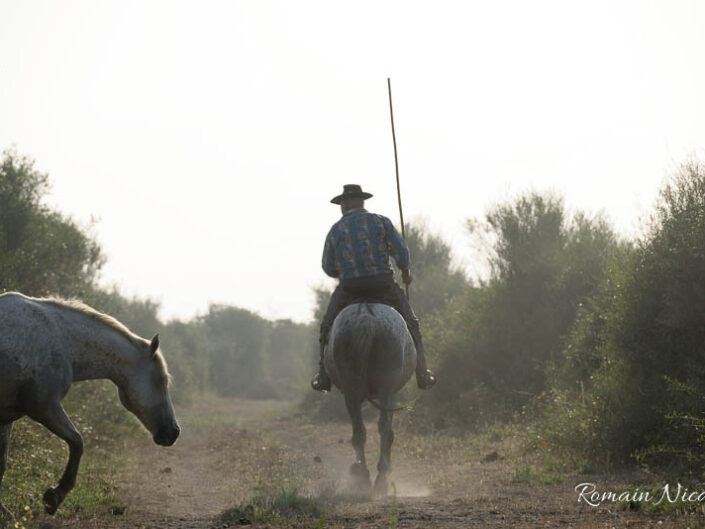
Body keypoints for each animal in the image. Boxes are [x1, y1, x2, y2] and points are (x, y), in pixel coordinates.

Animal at [0, 290, 182, 512]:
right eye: (162, 381)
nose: (173, 432)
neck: (60, 339)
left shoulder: (7, 417)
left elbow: (2, 463)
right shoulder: (44, 407)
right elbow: (78, 442)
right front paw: (55, 496)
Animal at [324, 302, 416, 496]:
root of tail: (367, 321)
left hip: (353, 391)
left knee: (360, 431)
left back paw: (364, 476)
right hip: (386, 390)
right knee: (383, 429)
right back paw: (379, 478)